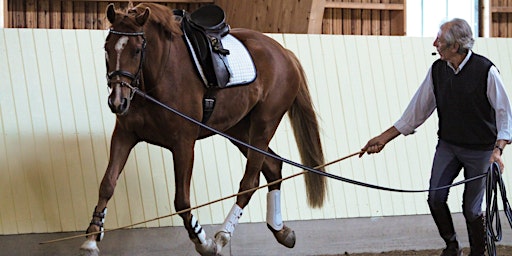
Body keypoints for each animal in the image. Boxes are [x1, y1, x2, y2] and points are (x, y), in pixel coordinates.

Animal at [81, 3, 326, 255]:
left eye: (137, 50)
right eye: (107, 48)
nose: (117, 102)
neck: (159, 73)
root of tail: (284, 53)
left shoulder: (183, 144)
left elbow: (181, 201)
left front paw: (204, 242)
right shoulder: (125, 135)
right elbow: (107, 184)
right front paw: (91, 238)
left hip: (263, 125)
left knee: (249, 182)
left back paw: (223, 236)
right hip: (238, 130)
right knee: (273, 166)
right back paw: (281, 231)